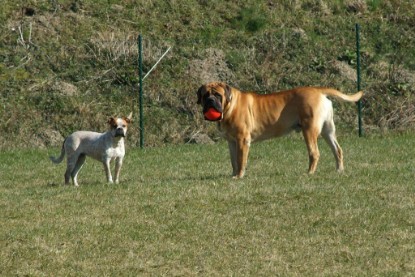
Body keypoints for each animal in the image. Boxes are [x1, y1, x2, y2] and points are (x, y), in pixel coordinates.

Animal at [197, 81, 362, 177]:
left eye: (218, 95)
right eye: (205, 95)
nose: (210, 100)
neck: (230, 106)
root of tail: (318, 91)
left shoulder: (242, 140)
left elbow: (240, 159)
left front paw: (239, 176)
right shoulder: (231, 141)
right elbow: (233, 160)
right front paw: (233, 175)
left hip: (309, 130)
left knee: (314, 153)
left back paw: (309, 173)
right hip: (328, 131)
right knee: (337, 150)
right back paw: (339, 170)